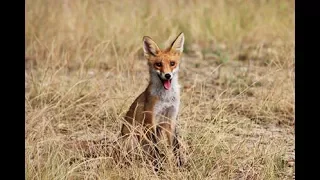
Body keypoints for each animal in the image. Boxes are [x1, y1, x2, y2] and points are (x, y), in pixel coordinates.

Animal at [120, 32, 185, 172]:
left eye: (172, 63)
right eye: (158, 64)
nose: (167, 75)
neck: (166, 99)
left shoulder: (171, 119)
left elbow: (176, 148)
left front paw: (180, 166)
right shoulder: (151, 121)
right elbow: (155, 149)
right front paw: (158, 168)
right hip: (133, 138)